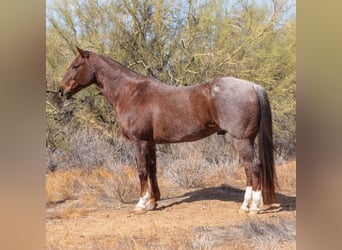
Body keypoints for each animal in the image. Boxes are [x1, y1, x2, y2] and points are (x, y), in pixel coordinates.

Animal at [58, 46, 278, 213]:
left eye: (75, 66)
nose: (61, 90)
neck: (132, 93)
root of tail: (253, 86)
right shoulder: (150, 142)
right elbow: (152, 169)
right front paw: (153, 201)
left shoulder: (138, 142)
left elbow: (141, 170)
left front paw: (141, 204)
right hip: (245, 141)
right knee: (249, 169)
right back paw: (246, 205)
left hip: (241, 140)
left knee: (254, 167)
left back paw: (253, 207)